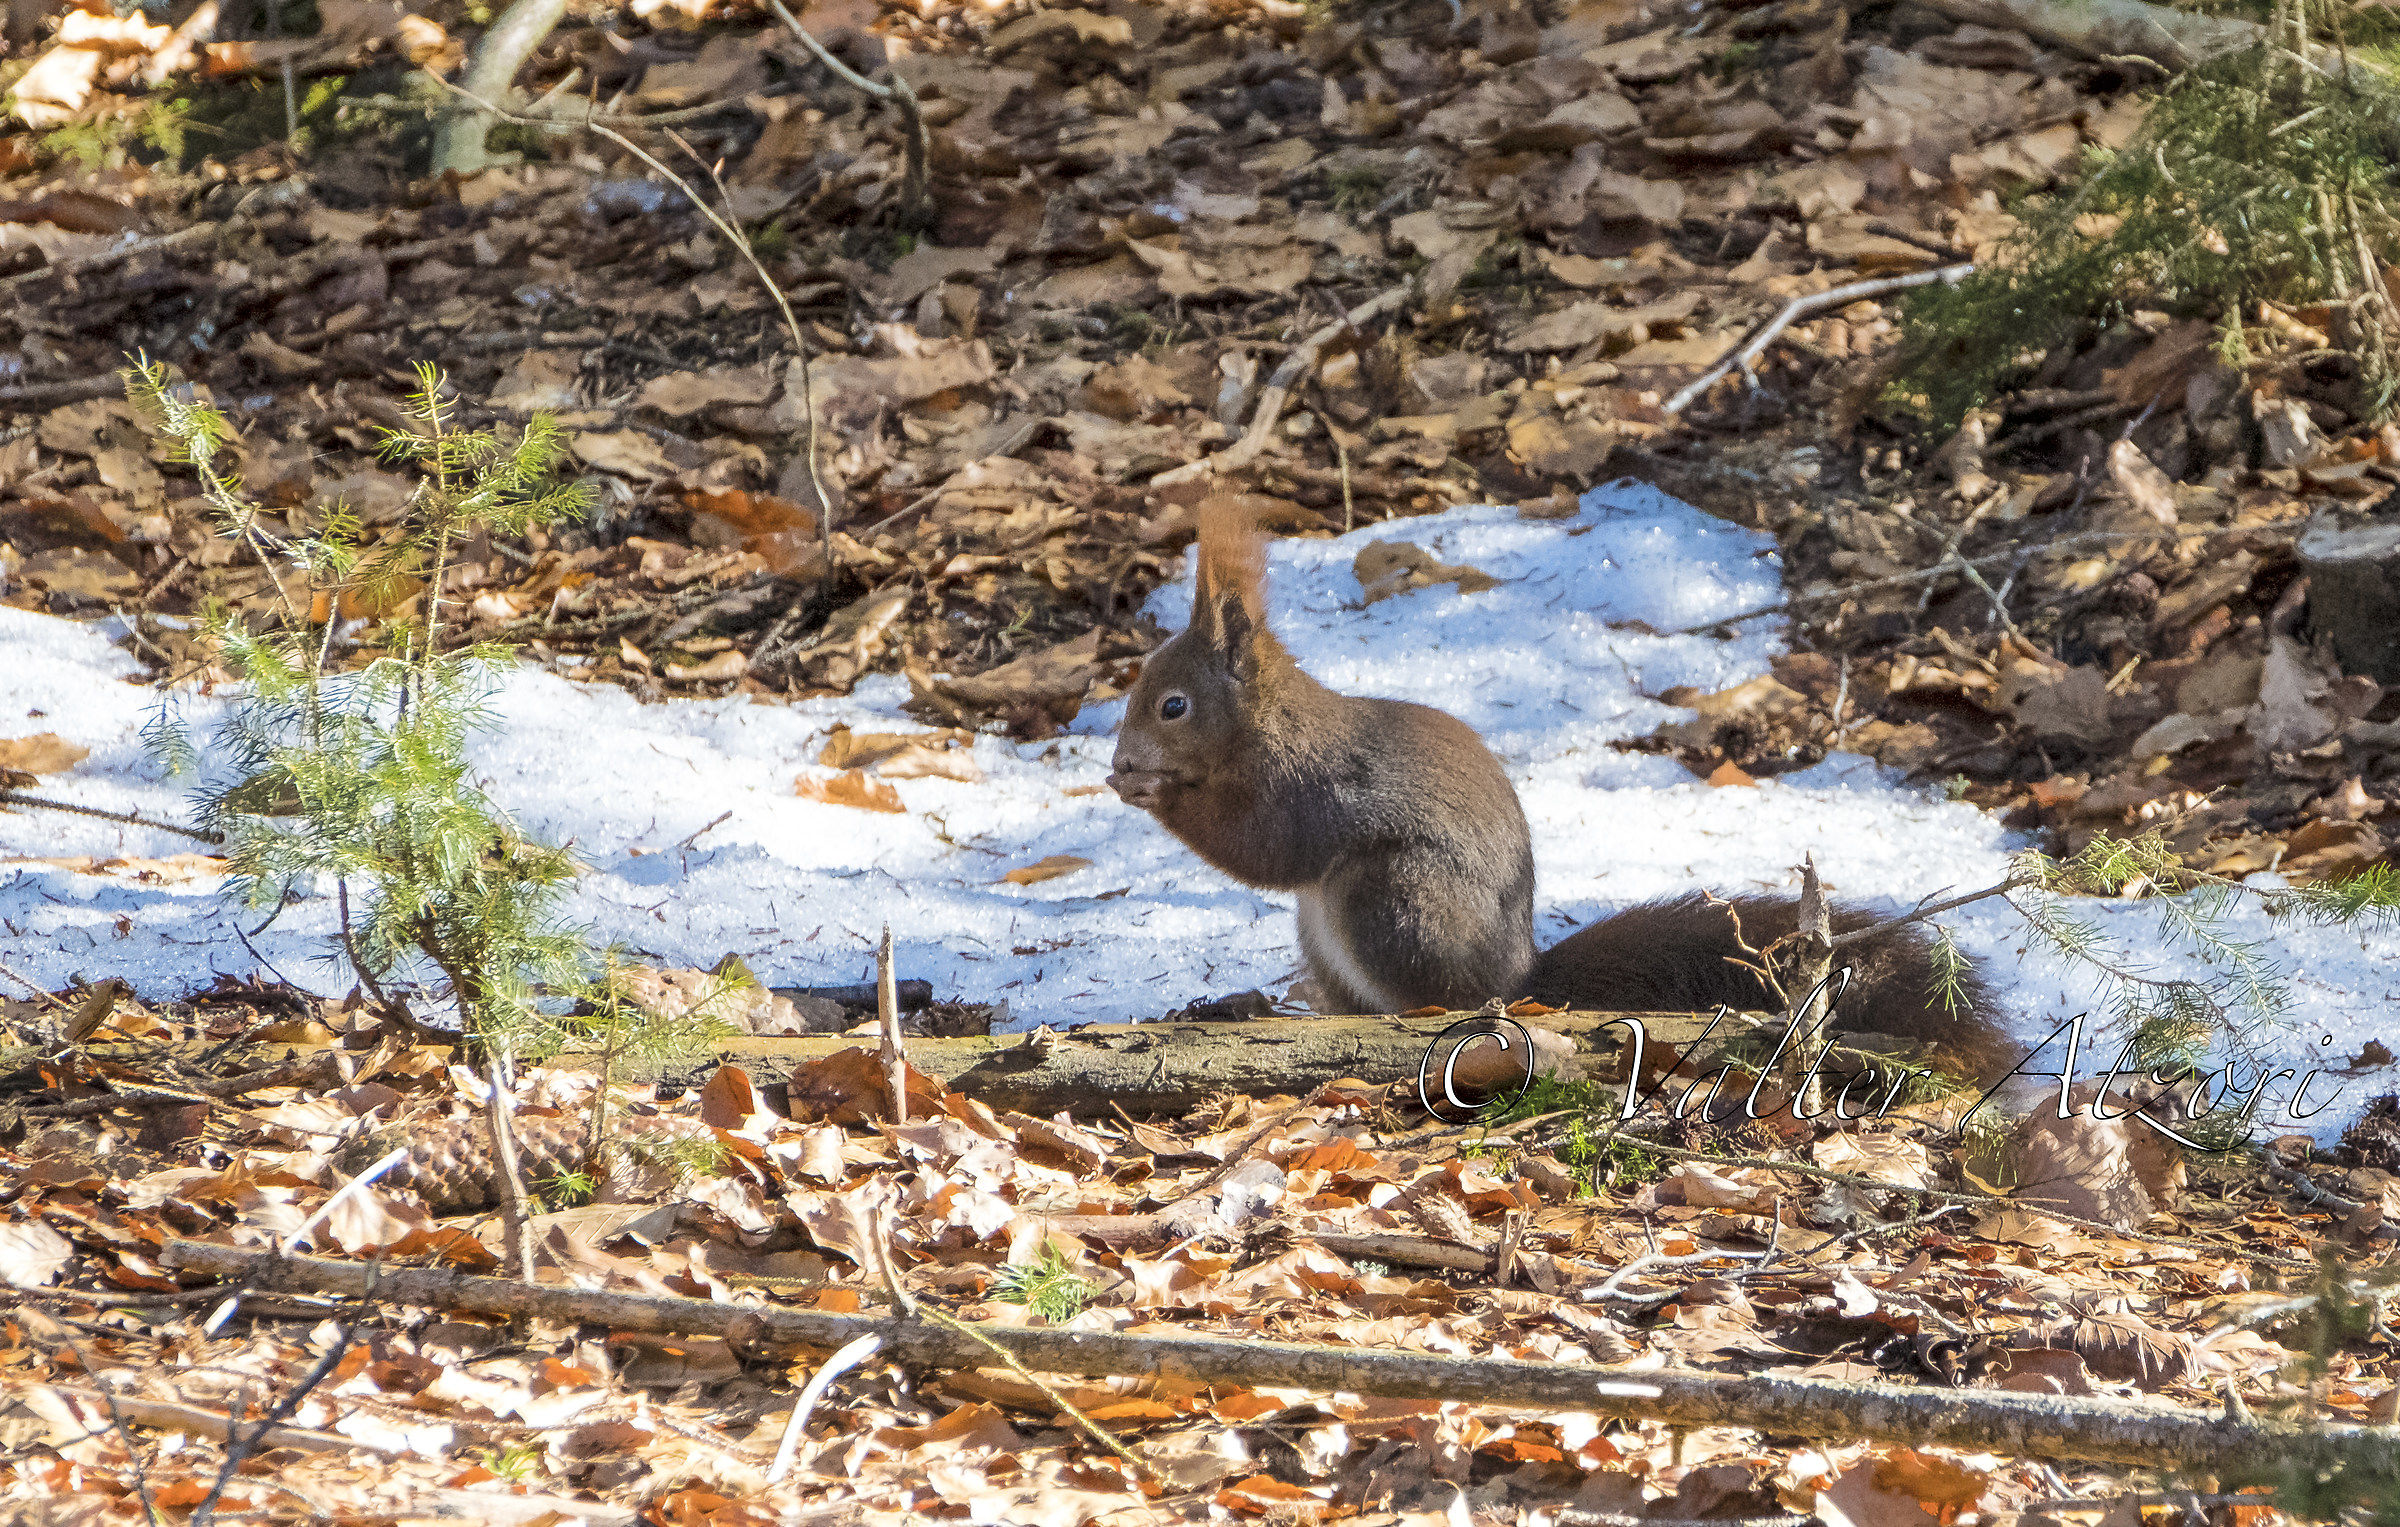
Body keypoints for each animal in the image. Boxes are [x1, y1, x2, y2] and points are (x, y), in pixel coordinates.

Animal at [1106, 503, 2016, 1084]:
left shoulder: (1308, 785)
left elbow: (1265, 847)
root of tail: (1521, 971)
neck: (1268, 726)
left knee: (1433, 996)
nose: (1119, 756)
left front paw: (1151, 792)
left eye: (1173, 705)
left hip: (1392, 898)